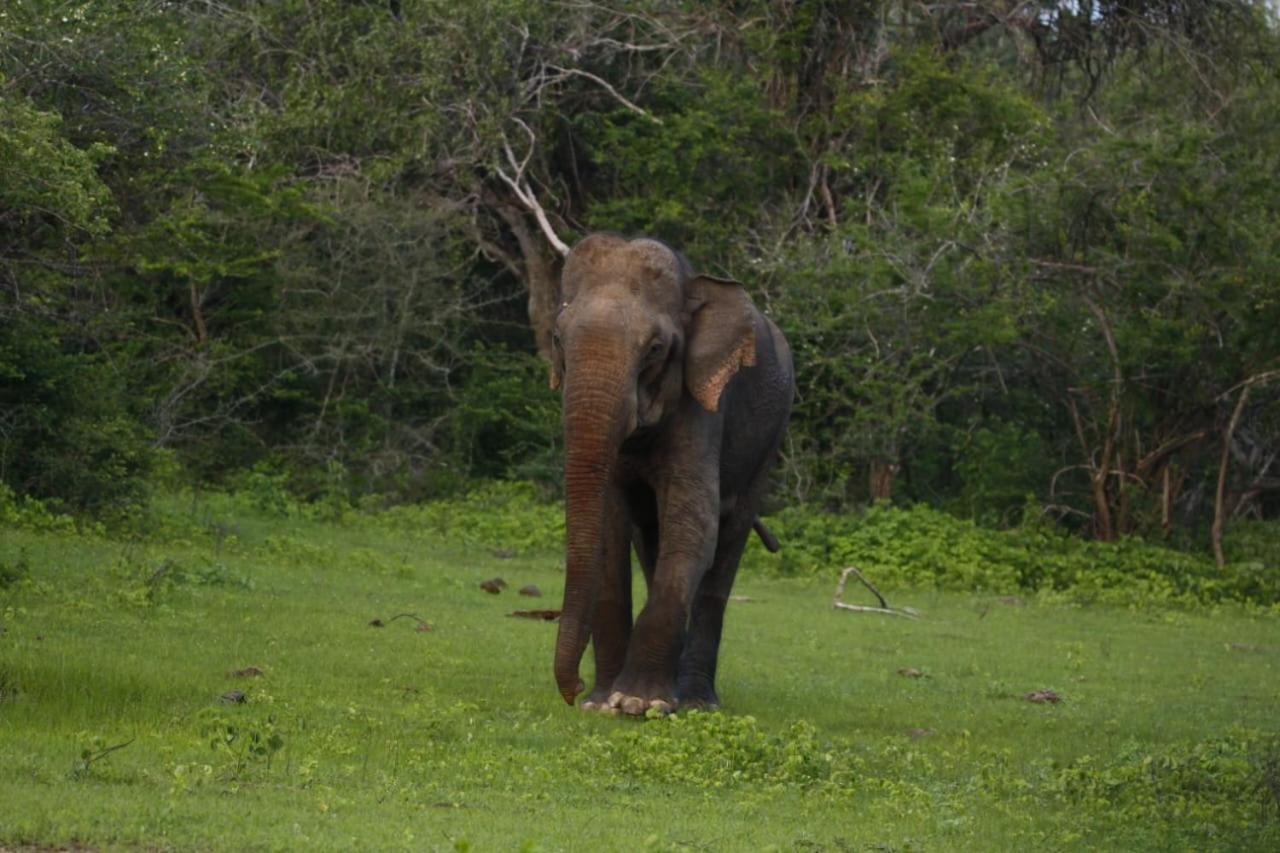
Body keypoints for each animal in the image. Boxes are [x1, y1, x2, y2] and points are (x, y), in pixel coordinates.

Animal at [547, 230, 788, 712]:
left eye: (655, 349)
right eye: (559, 339)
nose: (574, 689)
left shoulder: (702, 409)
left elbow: (694, 524)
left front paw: (638, 703)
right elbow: (611, 533)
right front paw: (603, 701)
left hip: (768, 441)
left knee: (725, 549)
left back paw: (695, 700)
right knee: (650, 540)